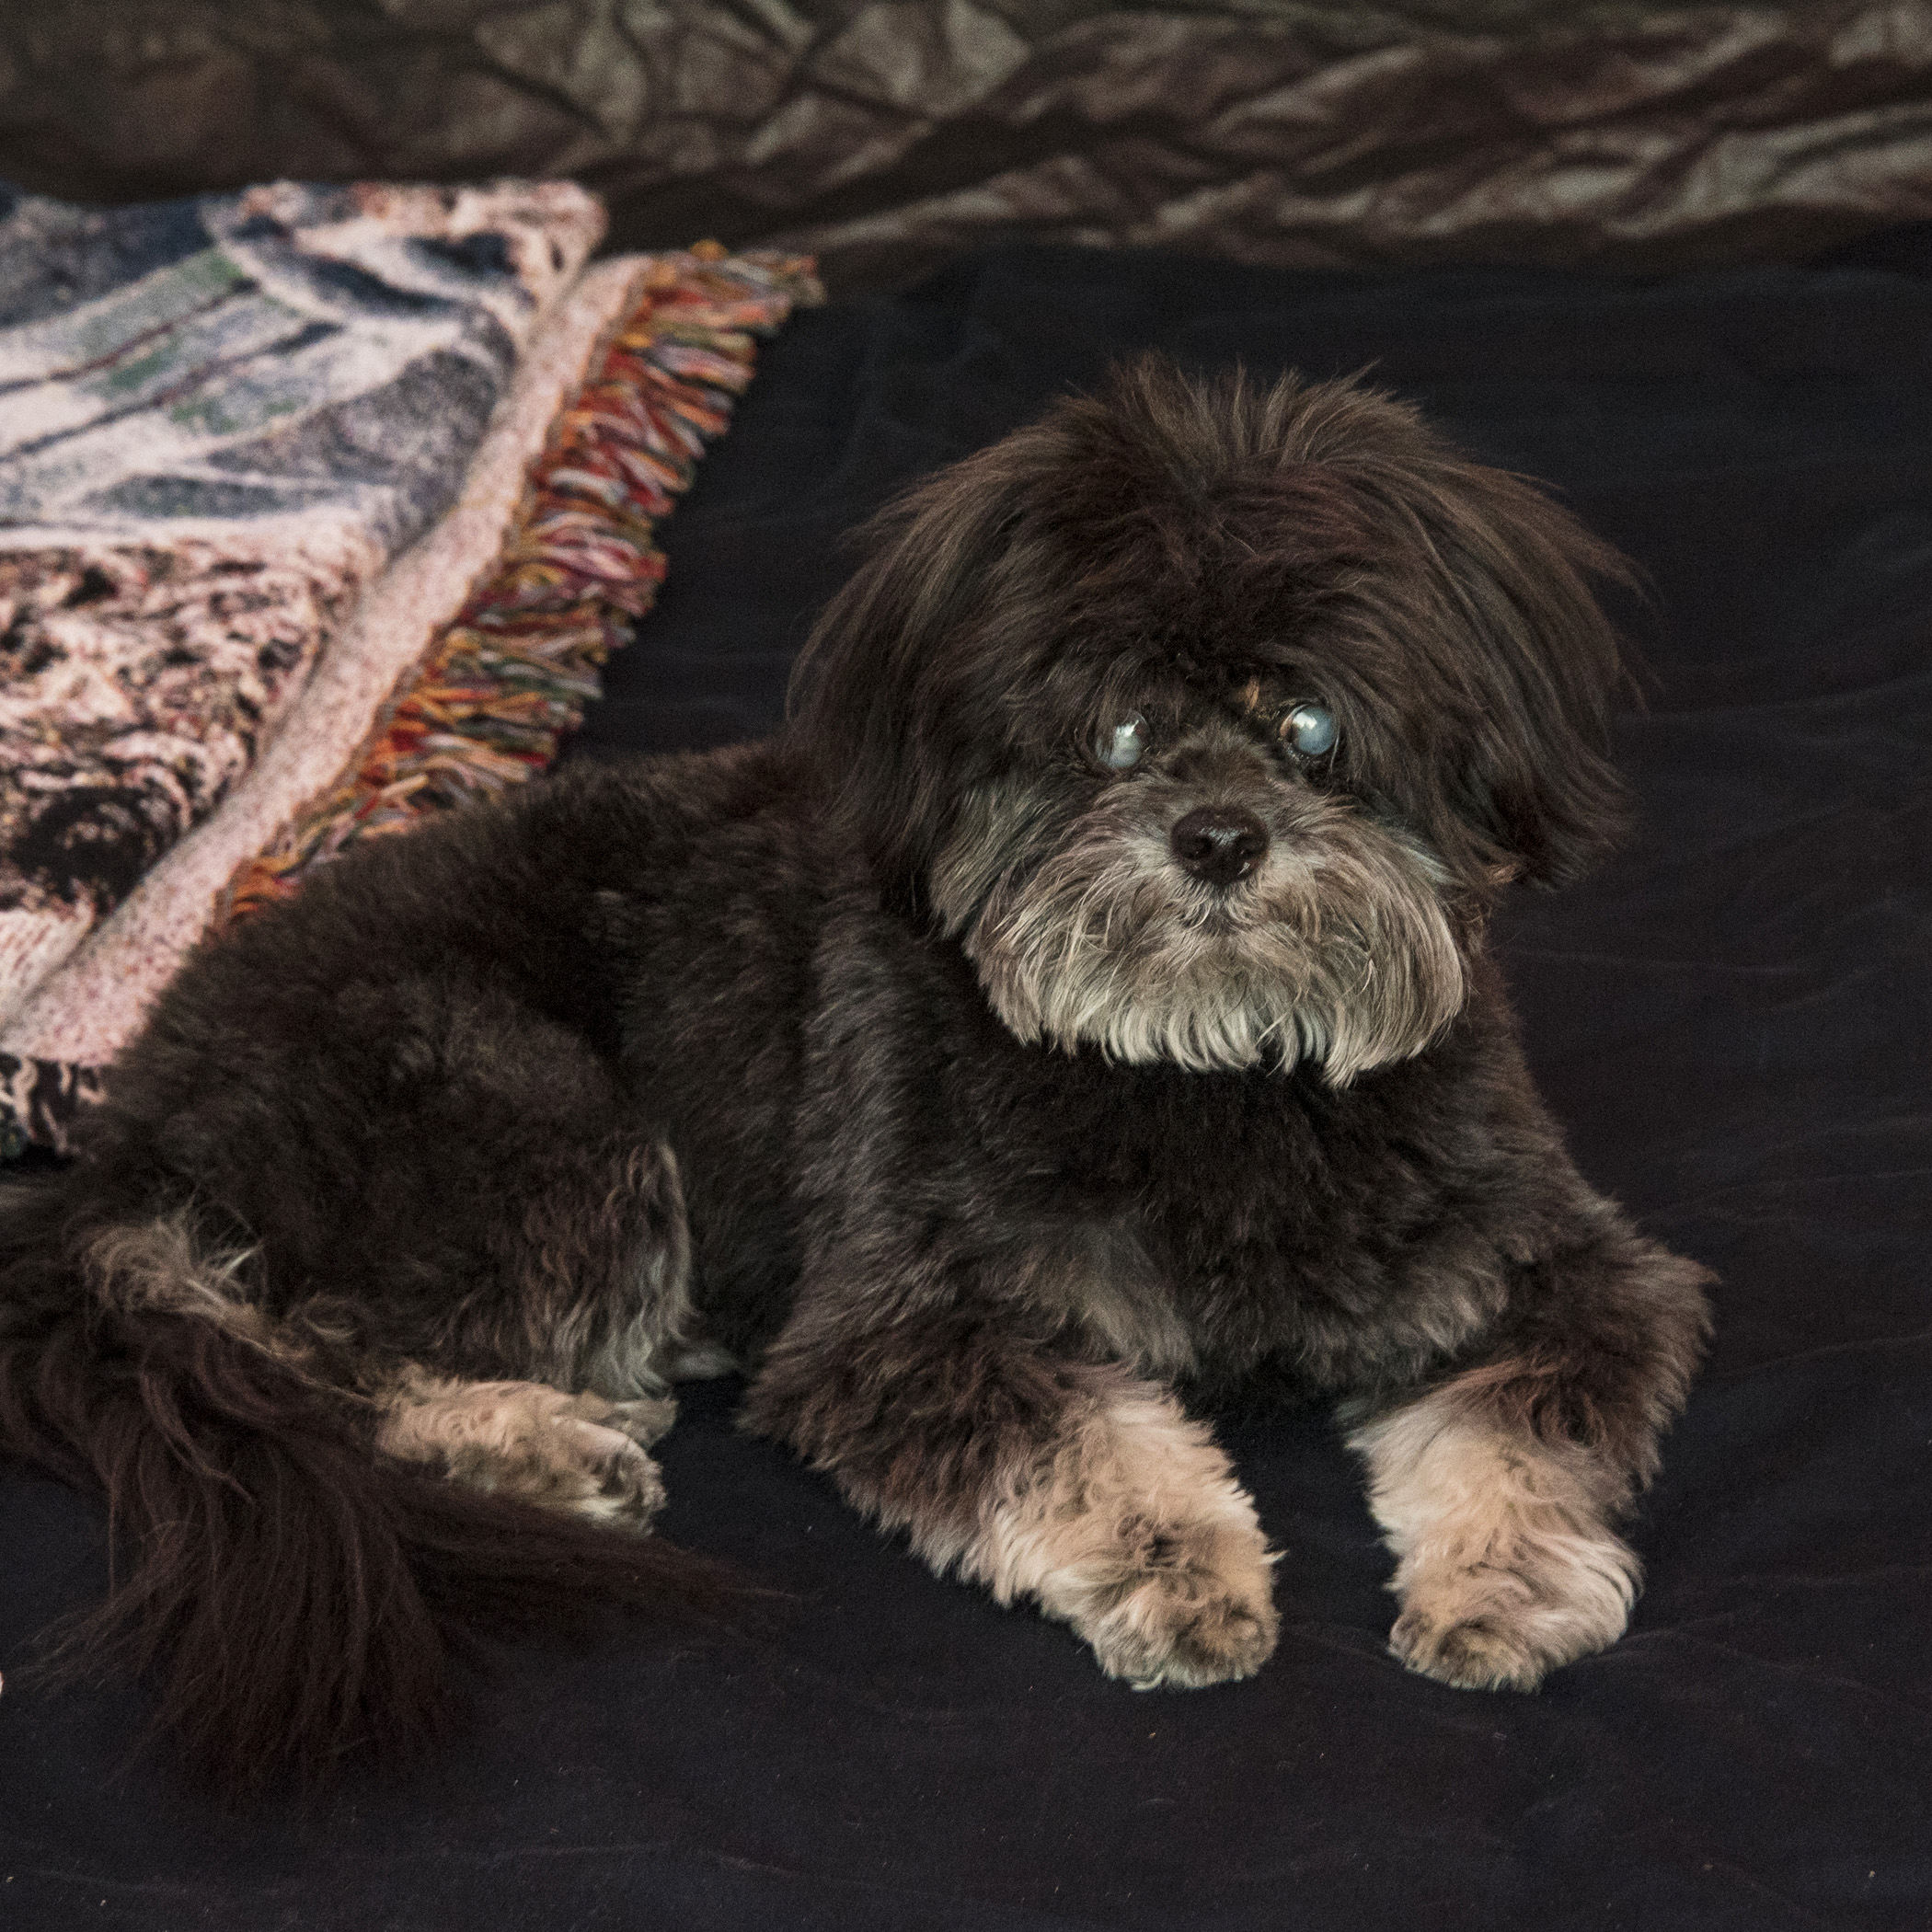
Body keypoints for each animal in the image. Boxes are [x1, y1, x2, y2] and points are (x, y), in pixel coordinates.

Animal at [7, 362, 1715, 1792]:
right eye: (1113, 732)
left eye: (1310, 725)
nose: (1218, 836)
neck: (1213, 1070)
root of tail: (134, 1124)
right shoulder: (897, 1324)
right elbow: (1090, 1440)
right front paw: (1183, 1570)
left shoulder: (1559, 1266)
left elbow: (1523, 1427)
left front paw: (1502, 1584)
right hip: (537, 1120)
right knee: (300, 1358)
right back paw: (538, 1440)